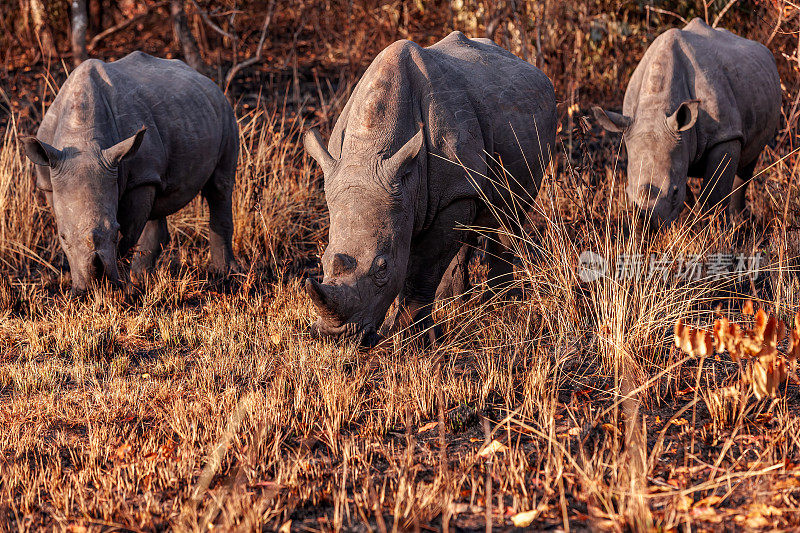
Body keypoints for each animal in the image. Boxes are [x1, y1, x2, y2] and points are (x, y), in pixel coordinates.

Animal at [21, 51, 241, 294]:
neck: (81, 139)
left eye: (114, 230)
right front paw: (85, 290)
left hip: (224, 110)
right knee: (159, 201)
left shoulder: (139, 177)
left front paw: (123, 290)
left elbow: (128, 237)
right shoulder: (50, 180)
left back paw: (225, 274)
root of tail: (205, 79)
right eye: (62, 236)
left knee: (219, 187)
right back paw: (143, 276)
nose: (93, 285)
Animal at [302, 31, 556, 344]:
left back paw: (501, 303)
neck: (369, 152)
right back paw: (455, 301)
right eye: (323, 261)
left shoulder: (451, 193)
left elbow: (423, 267)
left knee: (509, 214)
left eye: (382, 268)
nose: (336, 337)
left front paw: (411, 339)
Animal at [592, 18, 780, 229]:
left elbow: (714, 194)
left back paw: (740, 222)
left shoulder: (724, 135)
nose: (648, 228)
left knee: (749, 160)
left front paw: (713, 229)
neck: (656, 107)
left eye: (674, 193)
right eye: (627, 194)